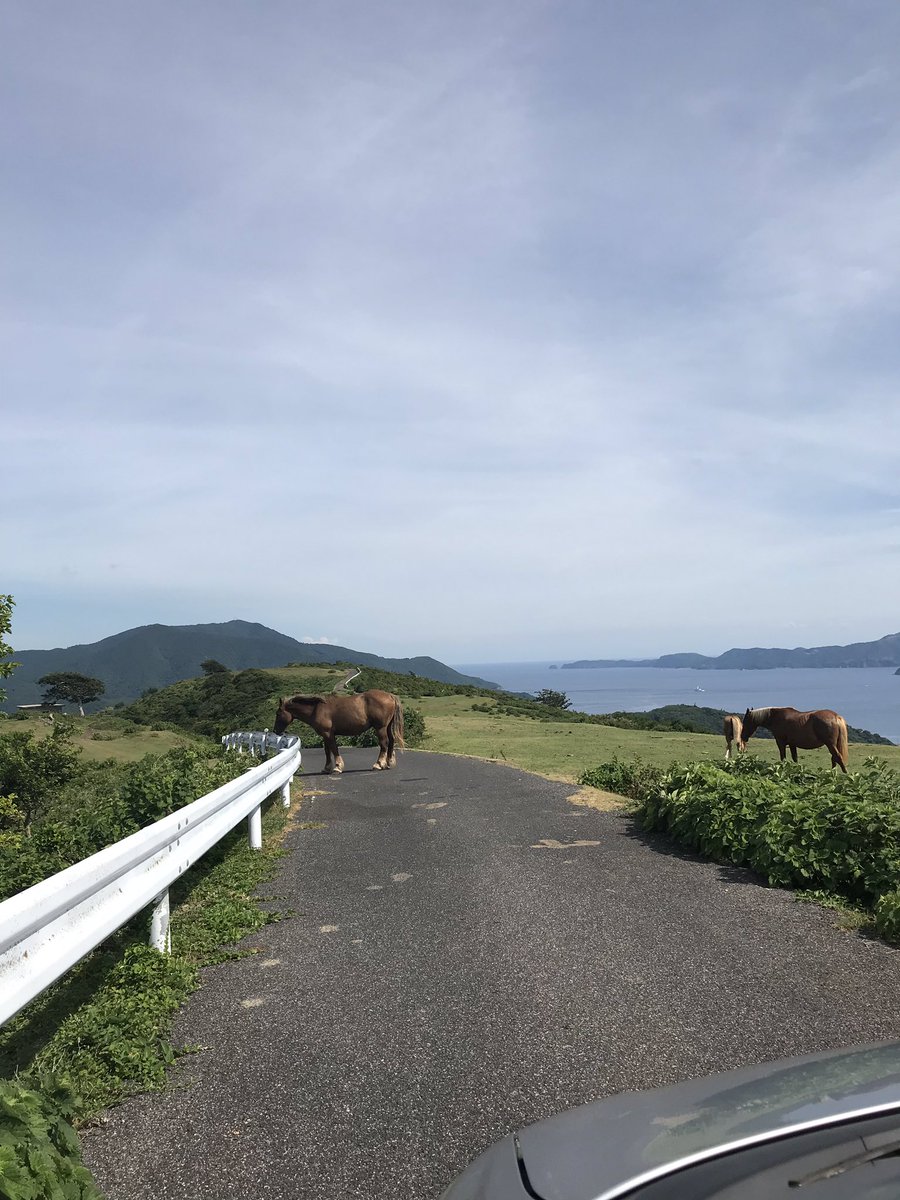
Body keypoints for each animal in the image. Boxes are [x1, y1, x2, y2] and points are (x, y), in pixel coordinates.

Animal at [273, 690, 405, 774]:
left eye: (278, 713)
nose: (275, 731)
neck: (317, 709)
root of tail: (390, 696)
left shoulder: (328, 734)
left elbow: (334, 749)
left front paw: (337, 767)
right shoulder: (325, 735)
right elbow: (327, 751)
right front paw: (327, 768)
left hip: (380, 727)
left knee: (384, 744)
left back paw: (378, 764)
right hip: (387, 726)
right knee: (391, 741)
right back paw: (389, 762)